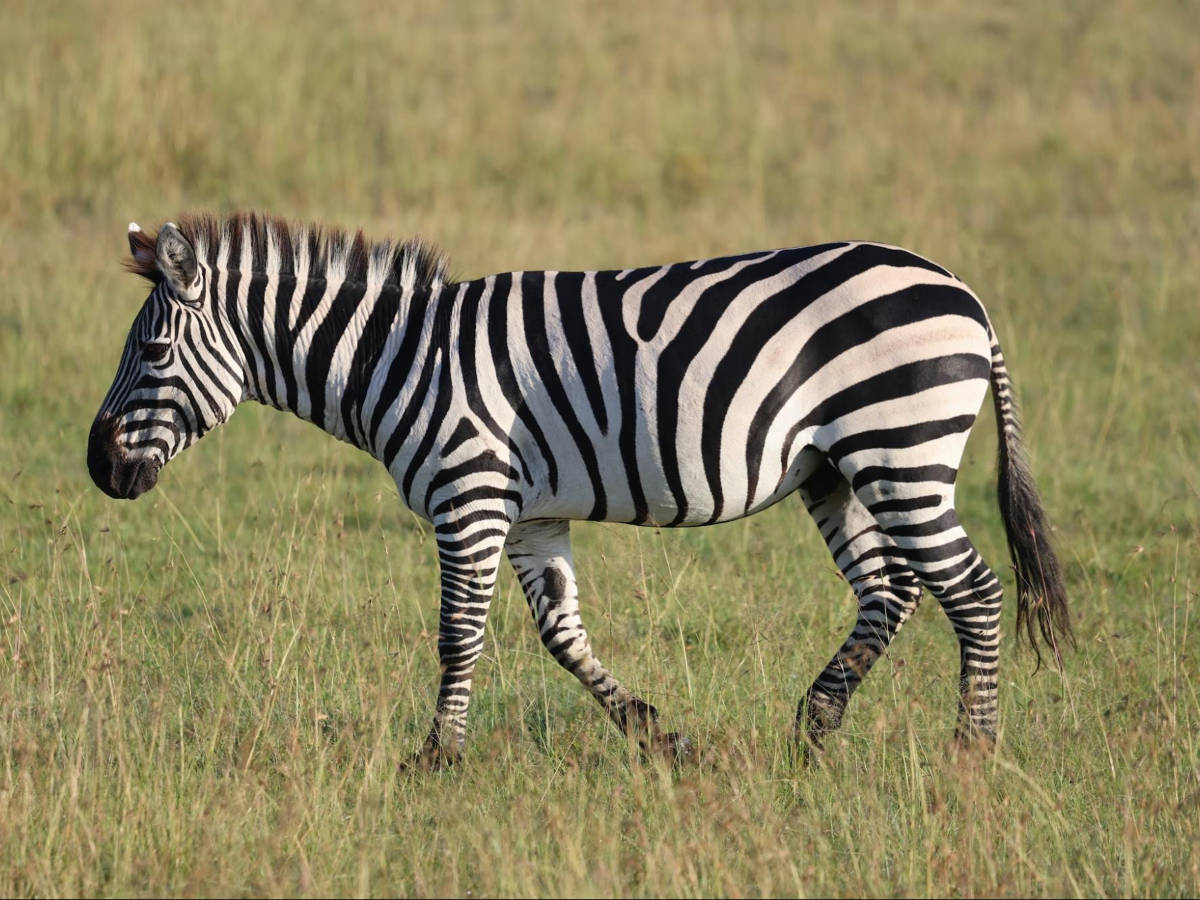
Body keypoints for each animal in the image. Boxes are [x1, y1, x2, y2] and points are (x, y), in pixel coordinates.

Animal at [88, 213, 1071, 767]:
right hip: (839, 469)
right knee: (892, 589)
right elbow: (562, 636)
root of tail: (966, 293)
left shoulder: (468, 493)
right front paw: (656, 735)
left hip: (899, 447)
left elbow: (457, 635)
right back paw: (816, 724)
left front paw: (435, 759)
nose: (98, 468)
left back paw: (971, 751)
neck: (397, 358)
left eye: (153, 352)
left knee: (973, 590)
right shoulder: (530, 515)